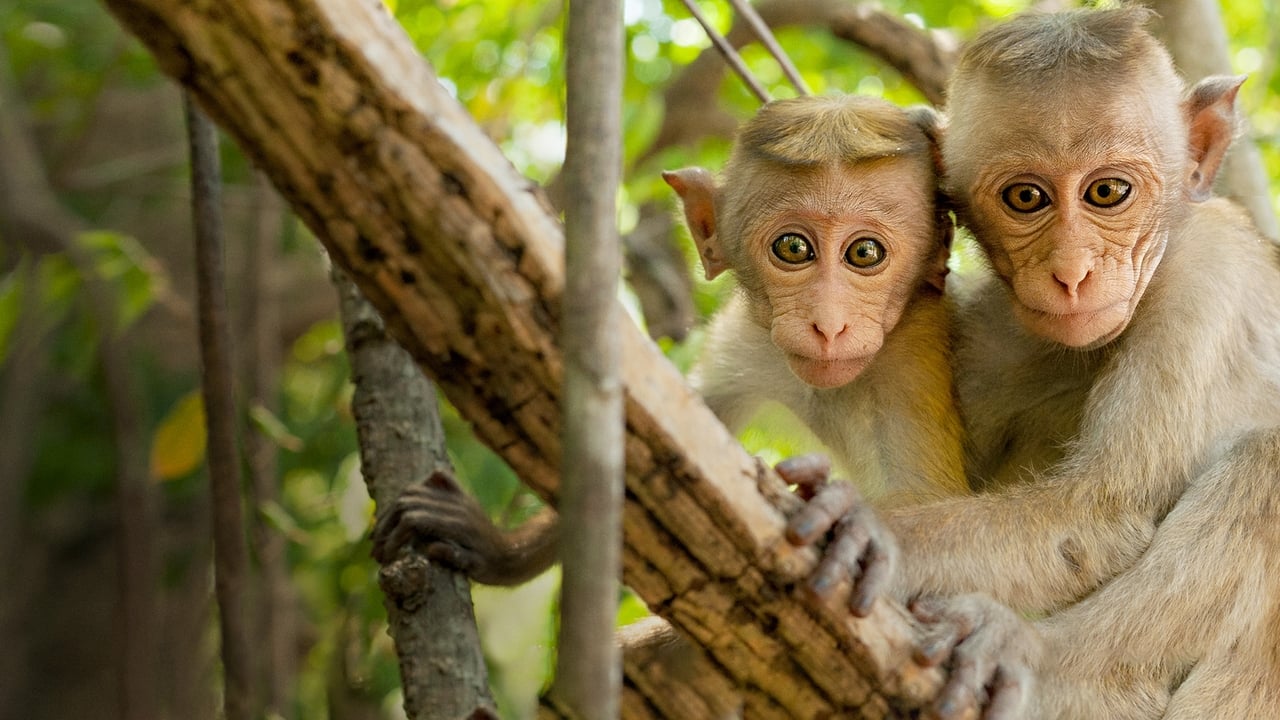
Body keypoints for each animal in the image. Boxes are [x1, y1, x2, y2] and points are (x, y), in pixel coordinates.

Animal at [778, 7, 1280, 717]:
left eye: (1108, 192)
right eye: (1026, 199)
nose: (1071, 273)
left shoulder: (1206, 278)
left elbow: (1098, 512)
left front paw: (875, 532)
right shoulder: (988, 332)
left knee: (1267, 463)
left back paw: (1031, 657)